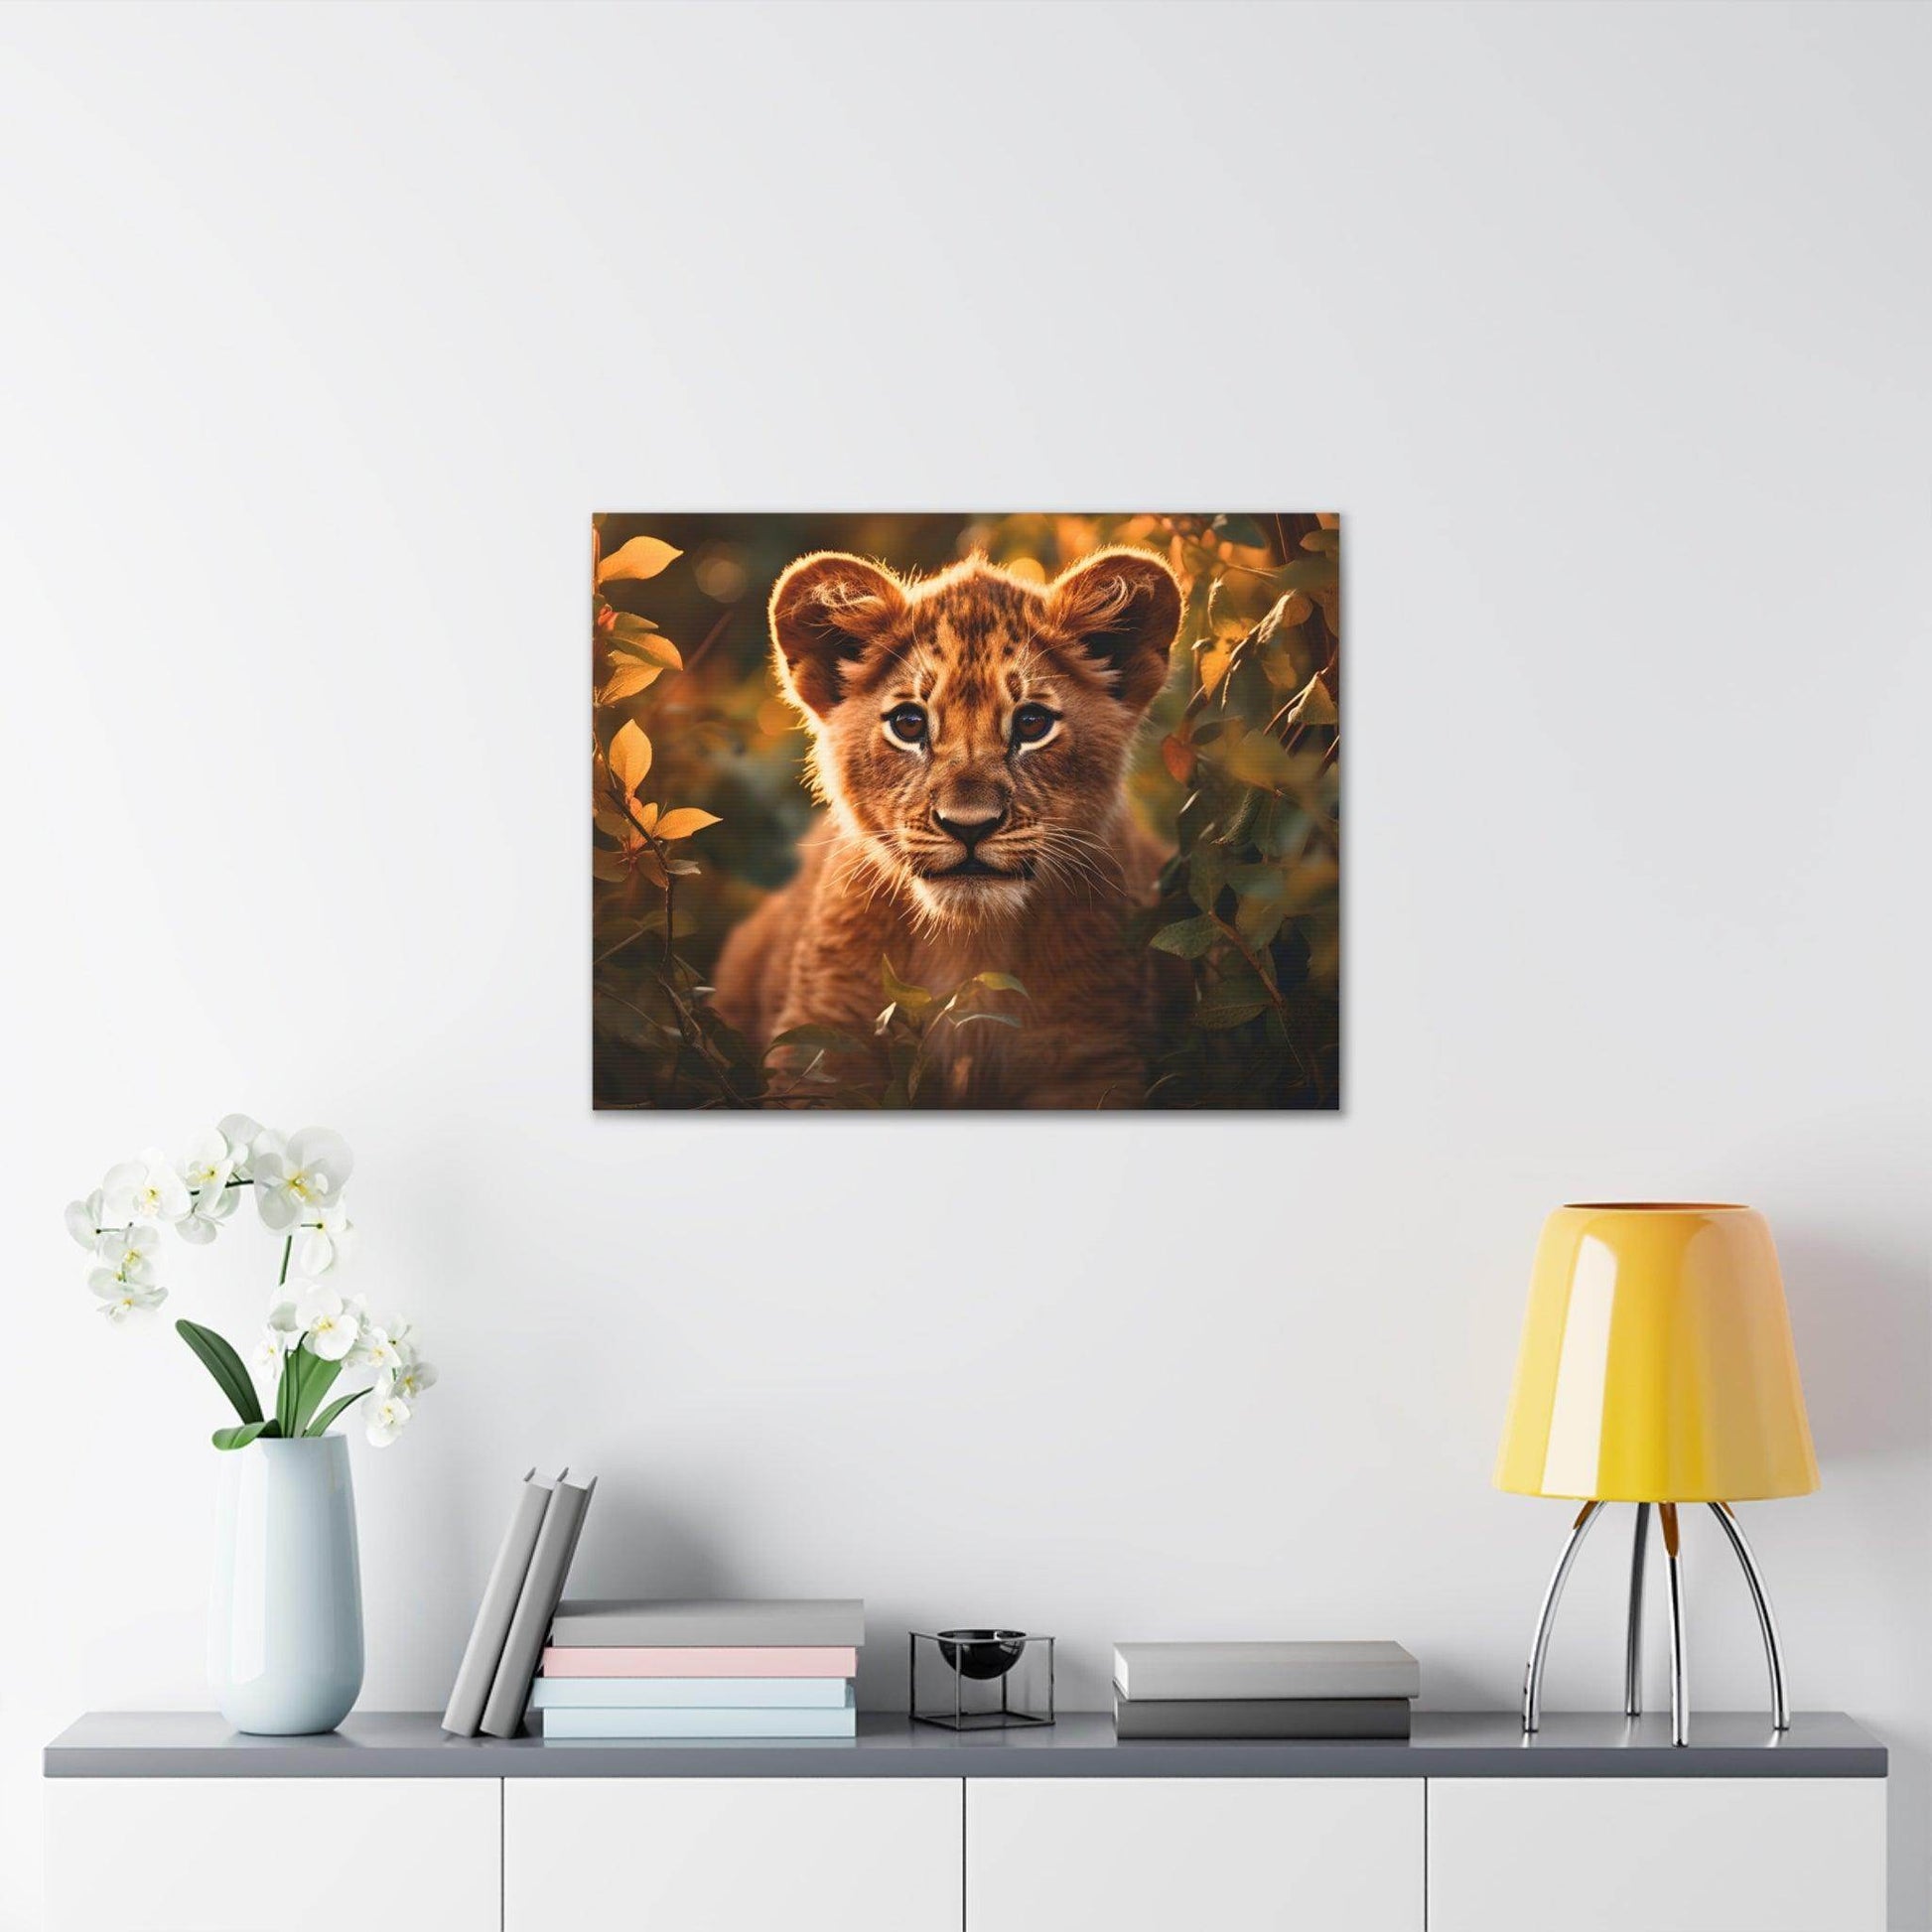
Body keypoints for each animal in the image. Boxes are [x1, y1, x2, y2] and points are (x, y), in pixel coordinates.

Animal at [710, 546, 1184, 1108]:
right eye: (909, 724)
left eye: (1032, 724)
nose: (969, 827)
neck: (970, 947)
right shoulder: (823, 1045)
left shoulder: (1093, 1054)